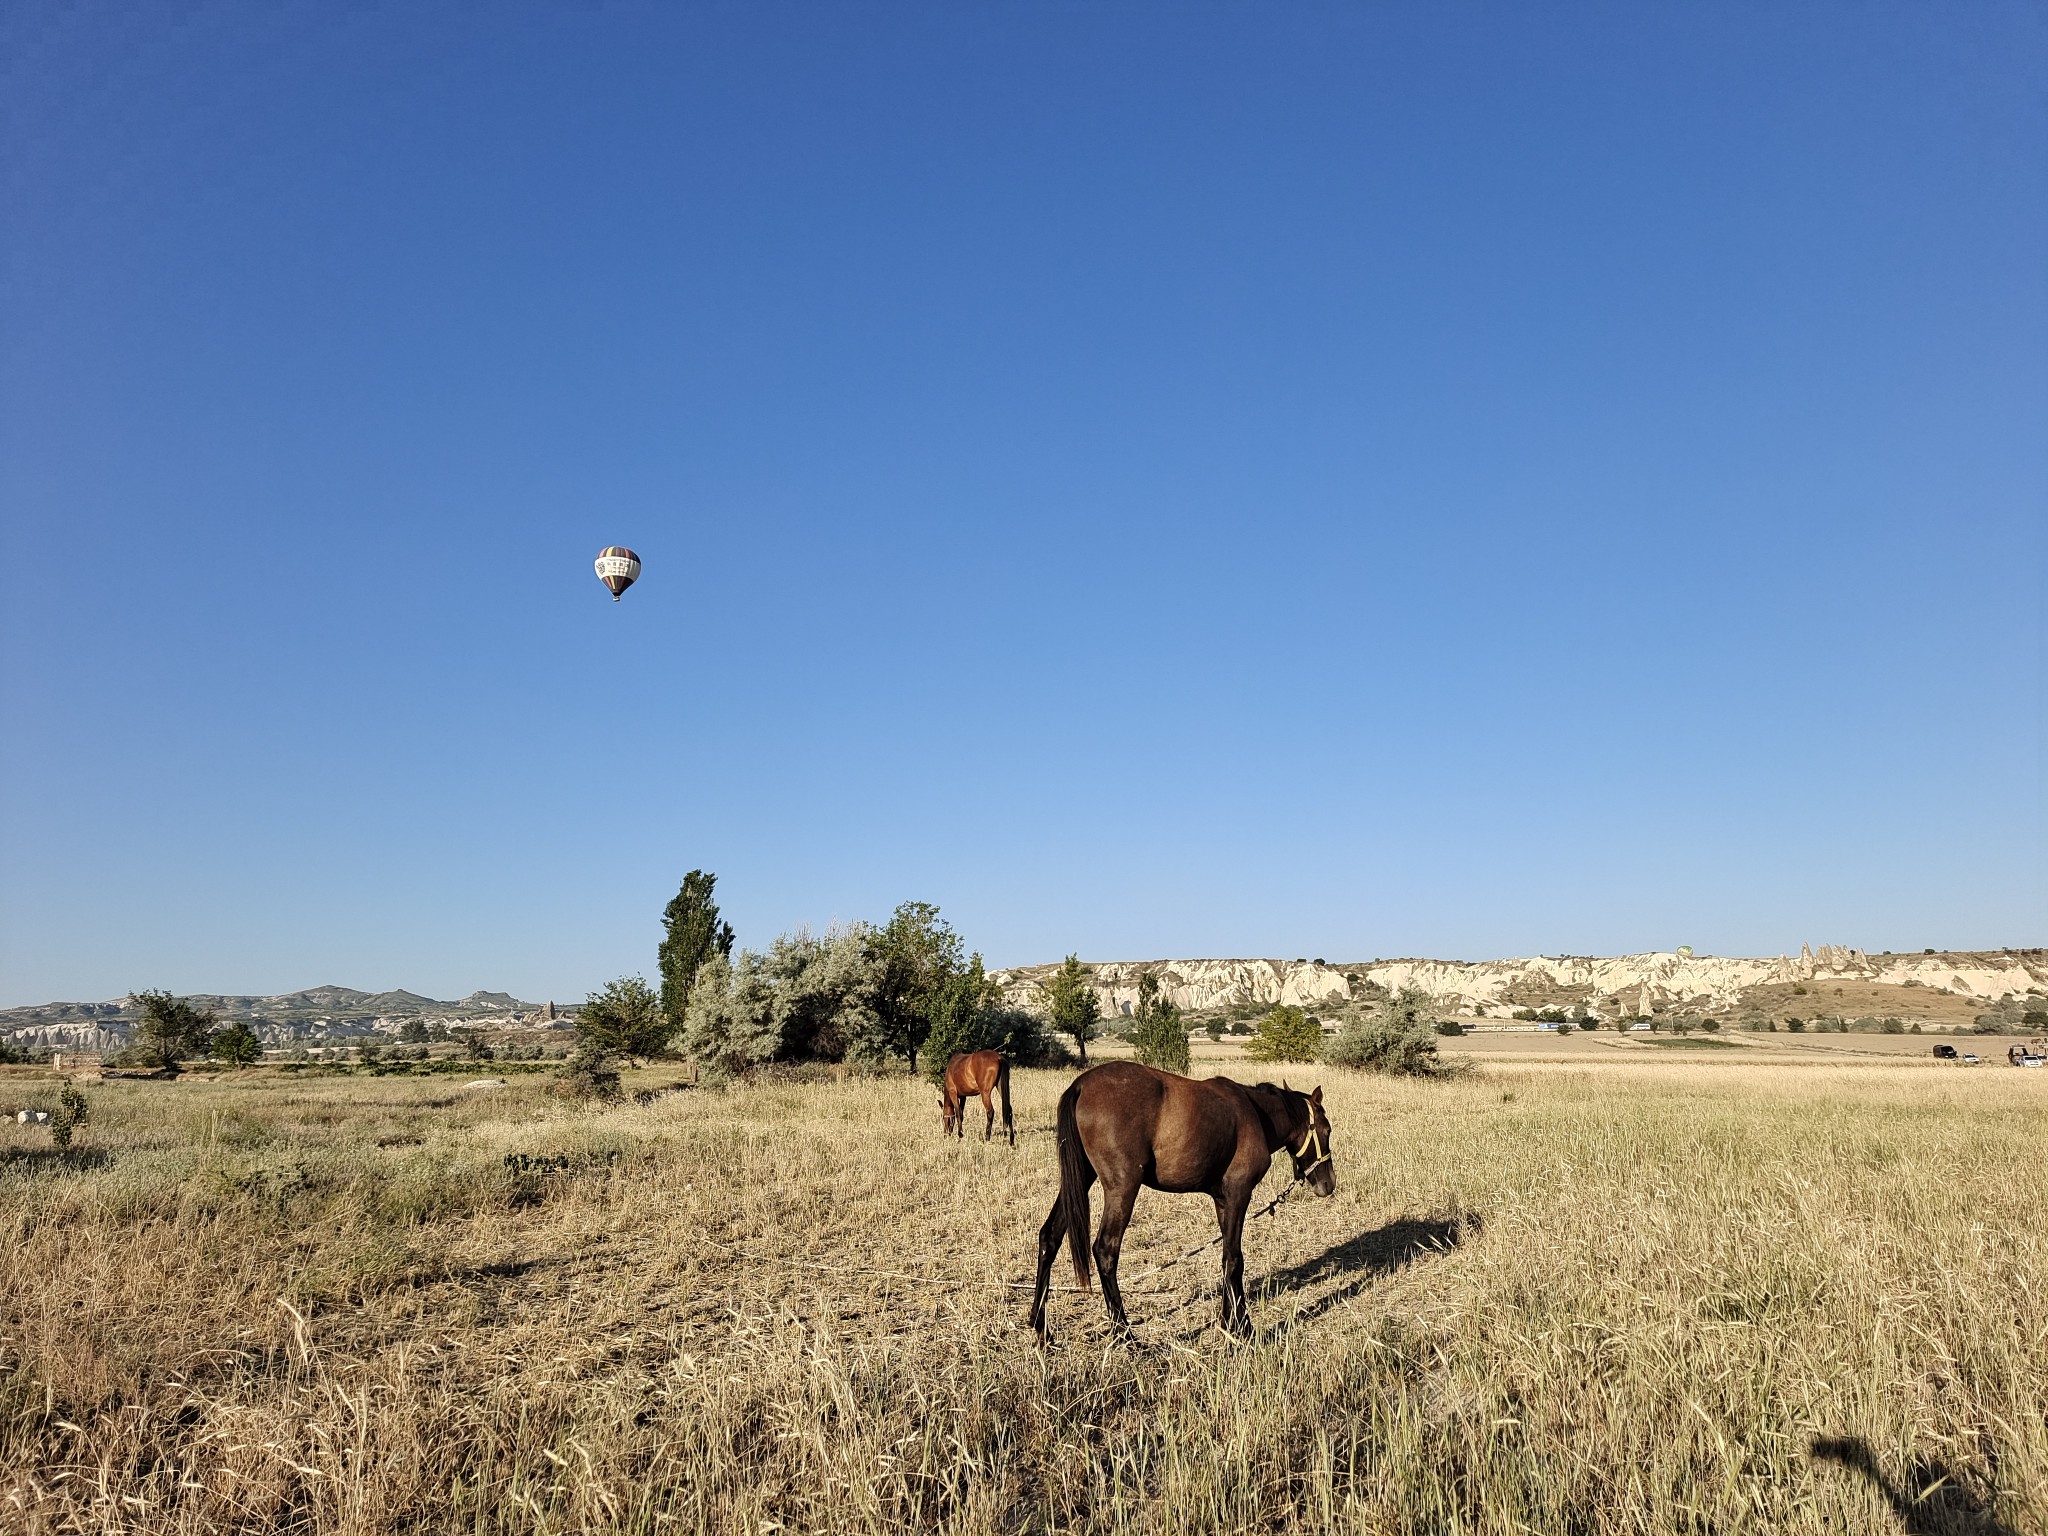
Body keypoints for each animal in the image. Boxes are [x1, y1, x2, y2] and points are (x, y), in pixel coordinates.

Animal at [1024, 1064, 1343, 1343]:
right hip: (1122, 1189)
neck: (1256, 1113)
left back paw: (1041, 1327)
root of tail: (1081, 1085)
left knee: (1049, 1237)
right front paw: (1244, 1327)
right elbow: (1236, 1261)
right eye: (1327, 1130)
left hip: (1079, 1180)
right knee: (1105, 1251)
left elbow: (1226, 1260)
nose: (1328, 1184)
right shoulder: (1239, 1196)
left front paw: (1227, 1321)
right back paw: (1125, 1335)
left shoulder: (1223, 1201)